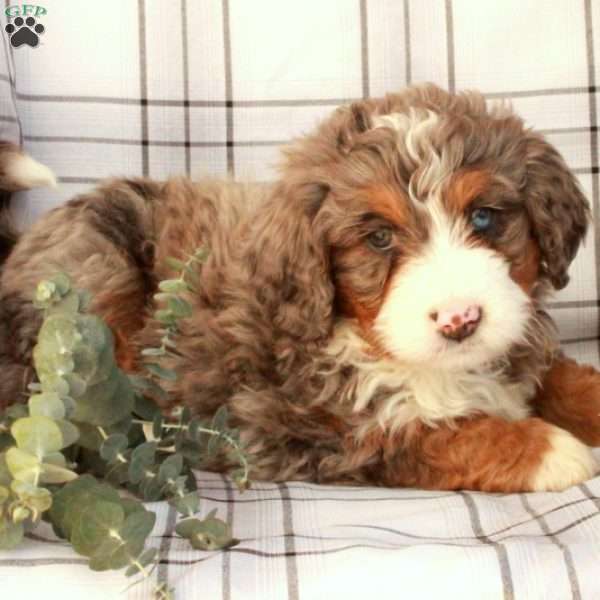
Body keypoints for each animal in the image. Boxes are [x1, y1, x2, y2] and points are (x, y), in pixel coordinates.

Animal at [1, 84, 600, 490]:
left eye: (483, 217)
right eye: (379, 238)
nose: (460, 320)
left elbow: (565, 379)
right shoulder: (334, 432)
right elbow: (451, 433)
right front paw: (555, 452)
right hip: (97, 277)